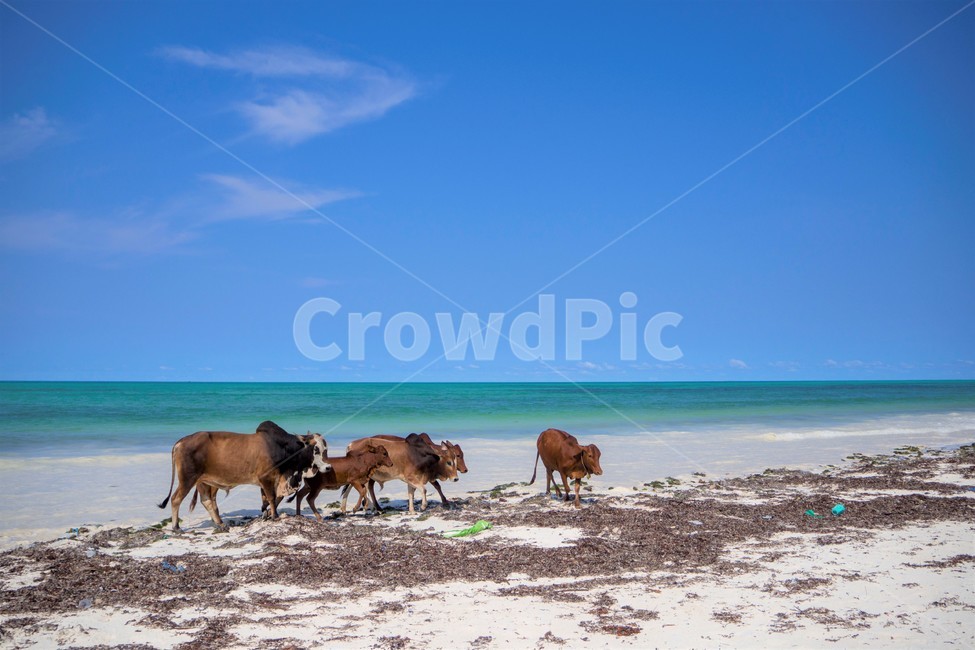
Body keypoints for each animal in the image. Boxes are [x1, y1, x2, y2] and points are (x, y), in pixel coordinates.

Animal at [157, 420, 329, 532]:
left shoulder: (270, 482)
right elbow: (272, 498)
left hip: (204, 481)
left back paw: (221, 524)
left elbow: (267, 500)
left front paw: (266, 515)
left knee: (207, 501)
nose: (327, 467)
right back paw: (176, 527)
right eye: (315, 449)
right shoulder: (266, 479)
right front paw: (274, 516)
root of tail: (180, 442)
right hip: (188, 478)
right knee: (176, 499)